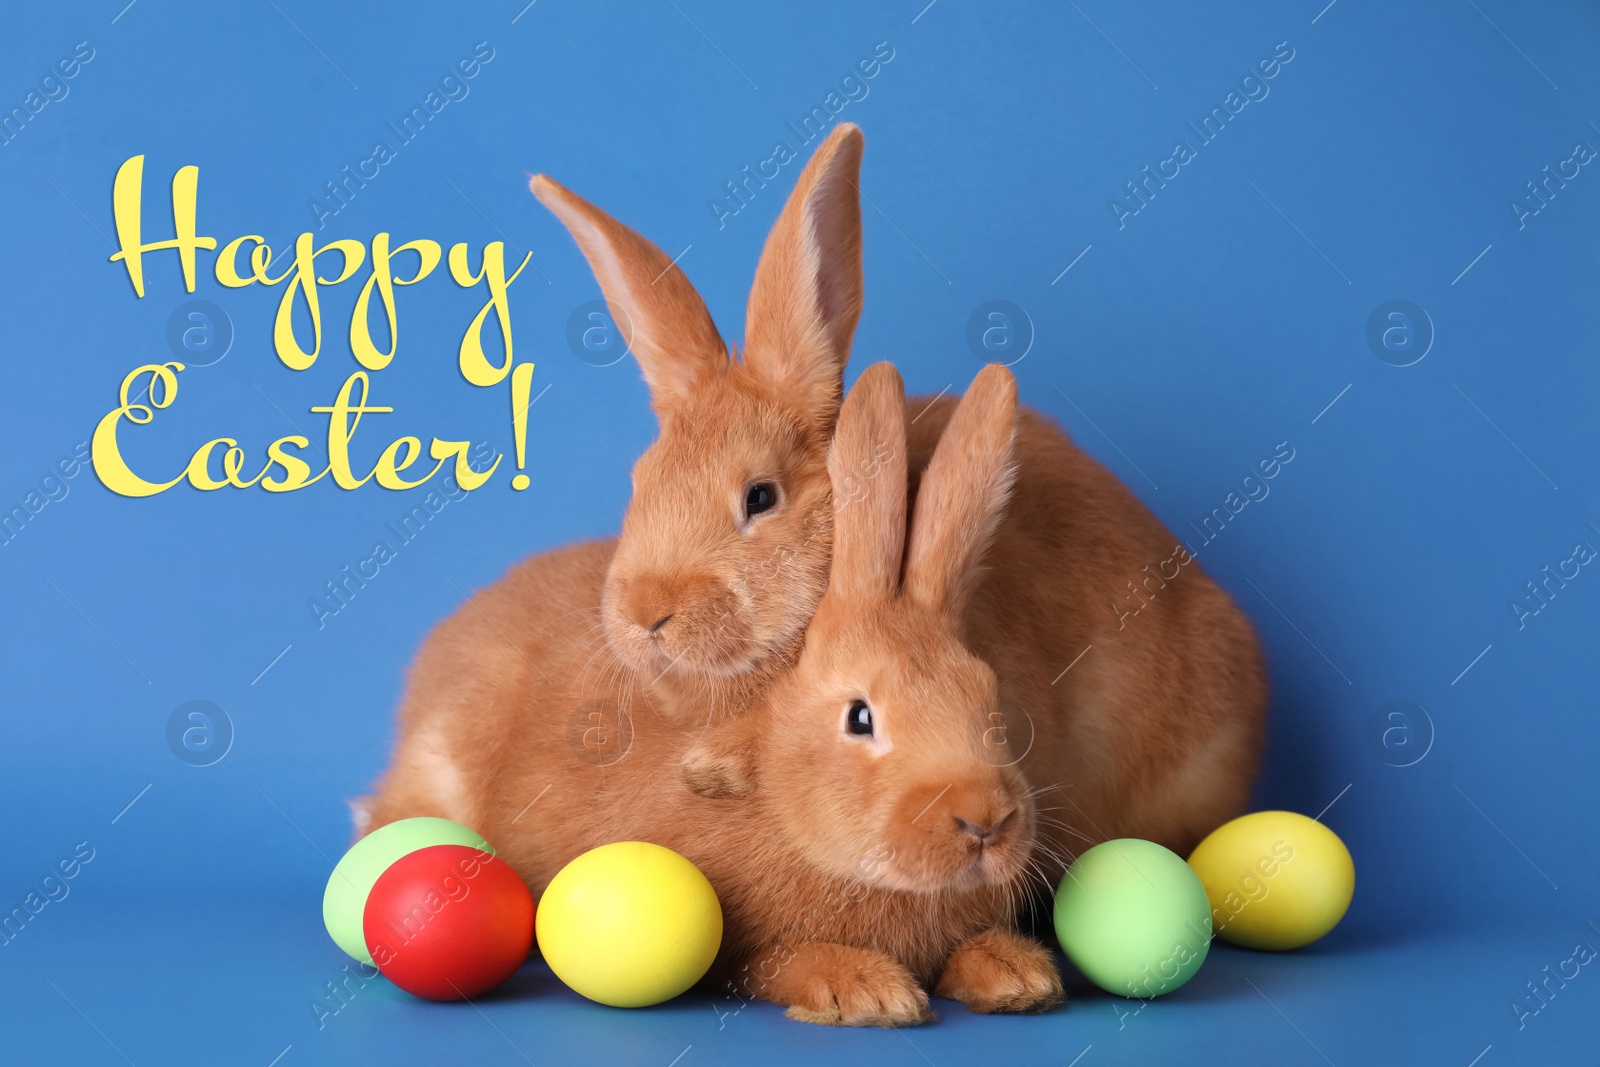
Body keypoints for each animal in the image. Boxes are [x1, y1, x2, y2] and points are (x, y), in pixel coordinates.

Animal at [376, 364, 1068, 1023]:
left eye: (988, 697)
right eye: (860, 717)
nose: (986, 820)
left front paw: (1017, 976)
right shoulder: (738, 954)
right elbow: (781, 962)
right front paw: (865, 992)